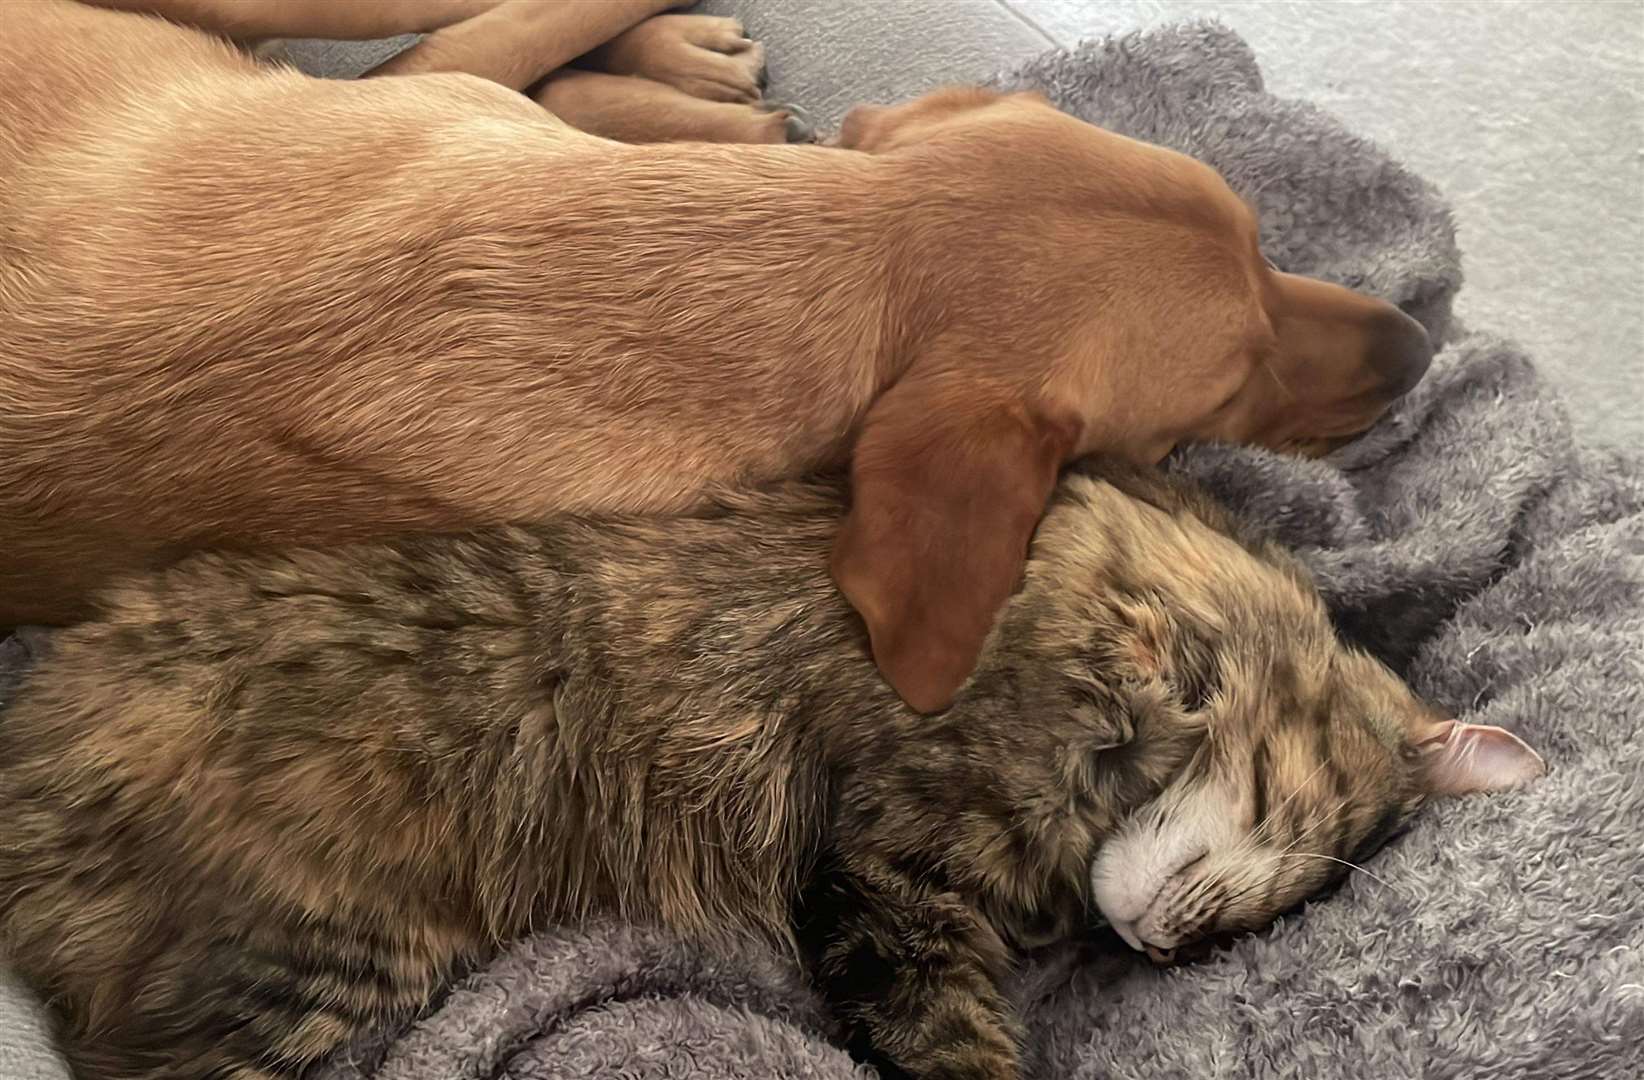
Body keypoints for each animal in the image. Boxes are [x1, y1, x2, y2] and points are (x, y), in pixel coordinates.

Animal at [0, 460, 1538, 1078]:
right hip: (305, 975)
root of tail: (41, 734)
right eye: (1297, 837)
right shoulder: (897, 868)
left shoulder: (897, 883)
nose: (1164, 948)